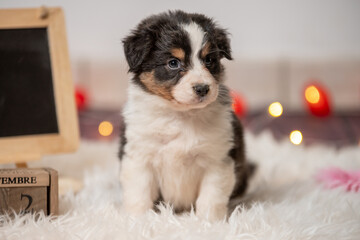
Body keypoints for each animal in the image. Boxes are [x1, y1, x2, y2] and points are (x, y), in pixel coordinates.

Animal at [119, 11, 249, 221]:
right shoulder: (139, 156)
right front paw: (137, 220)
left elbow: (211, 197)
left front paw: (210, 222)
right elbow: (139, 193)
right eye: (173, 63)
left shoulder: (217, 159)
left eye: (209, 60)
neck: (180, 116)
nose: (202, 88)